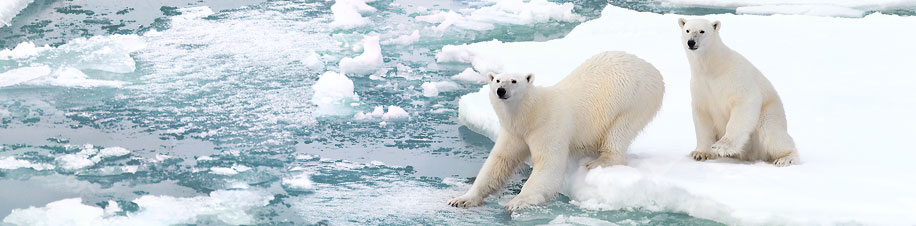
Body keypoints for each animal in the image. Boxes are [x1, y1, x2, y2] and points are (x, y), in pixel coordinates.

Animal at [448, 50, 660, 210]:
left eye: (514, 81)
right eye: (497, 80)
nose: (501, 91)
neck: (531, 114)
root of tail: (654, 71)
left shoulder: (547, 127)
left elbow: (548, 164)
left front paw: (516, 201)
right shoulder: (514, 133)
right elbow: (498, 162)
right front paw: (462, 199)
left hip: (634, 98)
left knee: (619, 131)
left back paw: (600, 160)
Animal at [680, 17, 800, 166]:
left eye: (702, 31)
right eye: (687, 30)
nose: (691, 42)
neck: (713, 67)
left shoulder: (735, 76)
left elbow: (745, 102)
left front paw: (722, 146)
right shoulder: (701, 86)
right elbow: (702, 116)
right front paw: (700, 153)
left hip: (770, 113)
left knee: (771, 134)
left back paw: (785, 158)